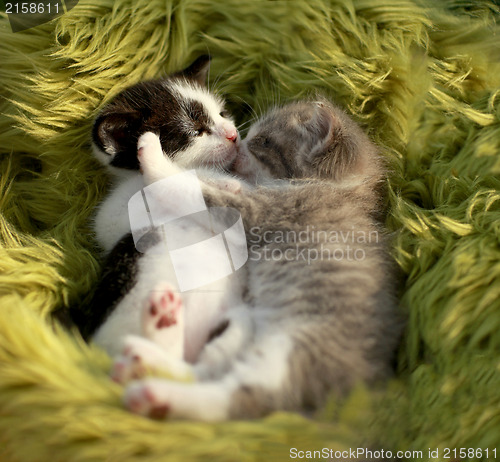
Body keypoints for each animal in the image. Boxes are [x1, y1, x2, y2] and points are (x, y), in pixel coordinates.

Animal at [114, 99, 402, 420]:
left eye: (263, 141)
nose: (237, 142)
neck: (336, 190)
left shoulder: (258, 213)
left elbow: (190, 191)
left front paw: (154, 156)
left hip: (290, 355)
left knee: (233, 398)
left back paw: (155, 393)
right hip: (245, 326)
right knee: (206, 369)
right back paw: (151, 343)